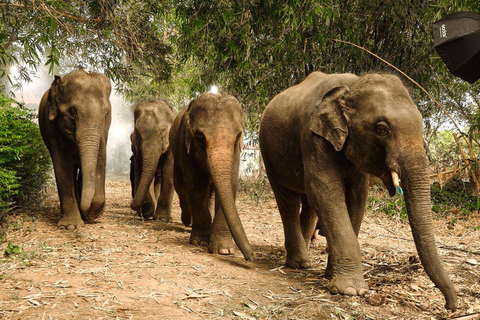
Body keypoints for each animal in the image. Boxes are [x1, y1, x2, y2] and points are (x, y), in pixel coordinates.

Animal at [38, 70, 111, 230]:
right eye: (72, 111)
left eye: (105, 113)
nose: (87, 214)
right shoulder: (51, 126)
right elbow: (61, 165)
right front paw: (70, 226)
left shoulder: (103, 131)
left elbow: (100, 158)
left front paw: (92, 214)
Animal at [169, 92, 253, 260]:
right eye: (200, 136)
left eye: (237, 136)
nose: (251, 257)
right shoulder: (185, 146)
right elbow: (197, 184)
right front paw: (200, 242)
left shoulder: (235, 152)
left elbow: (230, 184)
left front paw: (224, 250)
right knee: (181, 187)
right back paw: (187, 221)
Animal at [258, 71, 458, 308]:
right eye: (381, 128)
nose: (450, 306)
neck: (352, 86)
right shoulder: (313, 137)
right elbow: (325, 192)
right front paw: (351, 290)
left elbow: (357, 197)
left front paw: (331, 276)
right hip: (268, 153)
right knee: (288, 200)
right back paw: (297, 263)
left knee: (308, 204)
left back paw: (305, 262)